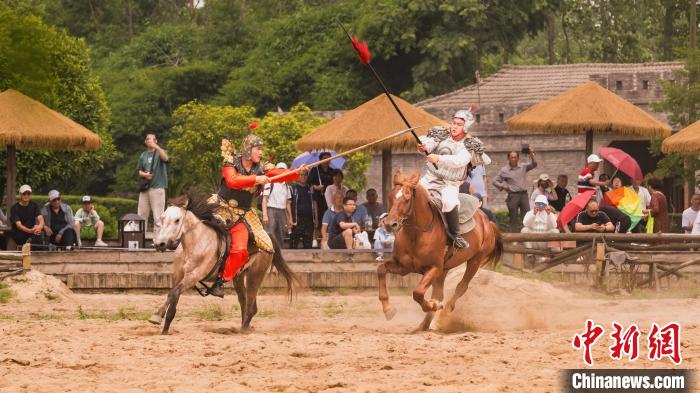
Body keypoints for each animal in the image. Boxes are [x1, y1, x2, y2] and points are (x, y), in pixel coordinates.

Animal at [150, 191, 298, 332]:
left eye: (177, 220)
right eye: (162, 218)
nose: (159, 244)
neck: (196, 242)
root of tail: (269, 238)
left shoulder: (193, 276)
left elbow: (173, 293)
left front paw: (156, 316)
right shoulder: (178, 275)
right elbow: (173, 299)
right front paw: (163, 326)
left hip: (255, 275)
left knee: (250, 305)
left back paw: (243, 330)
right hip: (239, 277)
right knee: (244, 302)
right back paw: (244, 327)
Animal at [380, 170, 500, 330]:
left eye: (407, 199)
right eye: (391, 196)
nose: (389, 224)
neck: (417, 234)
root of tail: (487, 222)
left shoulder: (434, 268)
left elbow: (418, 293)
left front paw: (433, 305)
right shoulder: (404, 267)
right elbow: (381, 270)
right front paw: (388, 309)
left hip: (475, 260)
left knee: (461, 287)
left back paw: (445, 311)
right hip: (445, 270)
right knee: (440, 293)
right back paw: (423, 326)